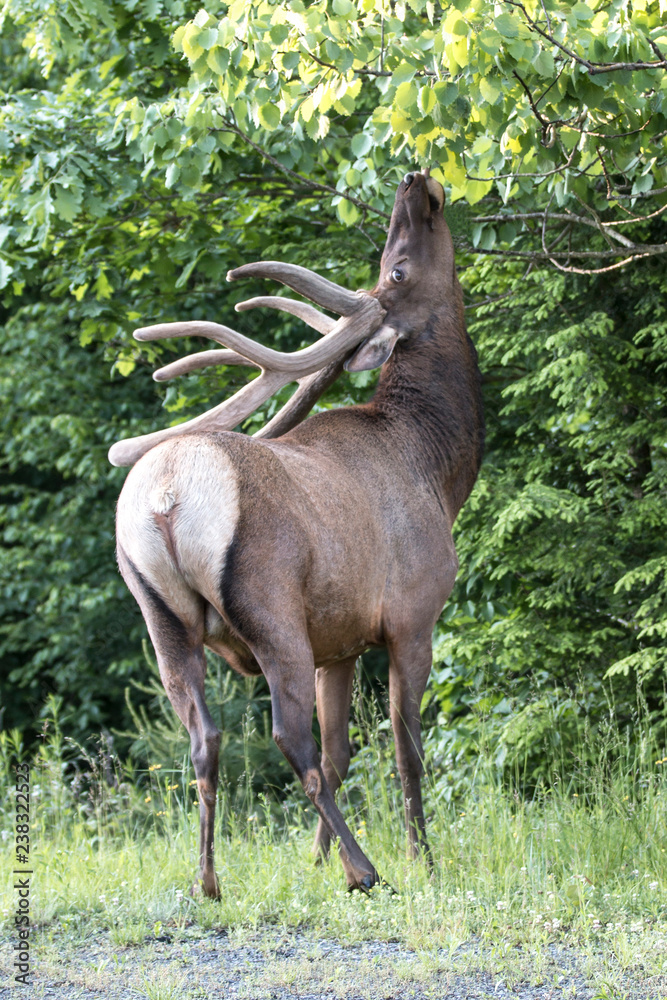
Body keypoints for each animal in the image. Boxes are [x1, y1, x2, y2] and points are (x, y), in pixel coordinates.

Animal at [109, 170, 484, 896]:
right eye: (395, 268)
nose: (413, 178)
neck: (440, 468)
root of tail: (167, 496)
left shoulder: (338, 640)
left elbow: (343, 751)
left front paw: (314, 861)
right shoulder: (411, 612)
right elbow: (405, 748)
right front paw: (420, 859)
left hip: (158, 612)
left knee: (204, 738)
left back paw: (208, 881)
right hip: (270, 604)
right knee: (288, 736)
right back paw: (365, 870)